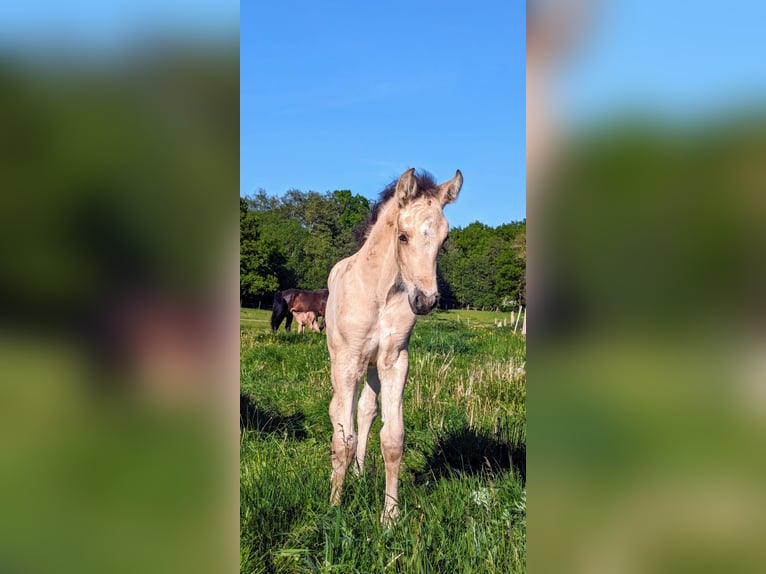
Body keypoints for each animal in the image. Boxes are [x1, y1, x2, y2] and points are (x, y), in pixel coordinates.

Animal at [324, 168, 462, 528]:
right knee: (338, 411)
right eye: (403, 236)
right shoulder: (349, 361)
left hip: (373, 367)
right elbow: (343, 437)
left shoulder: (394, 361)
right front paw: (334, 506)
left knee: (365, 411)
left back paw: (359, 474)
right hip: (340, 360)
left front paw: (390, 516)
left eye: (444, 240)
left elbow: (392, 438)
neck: (378, 293)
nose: (425, 300)